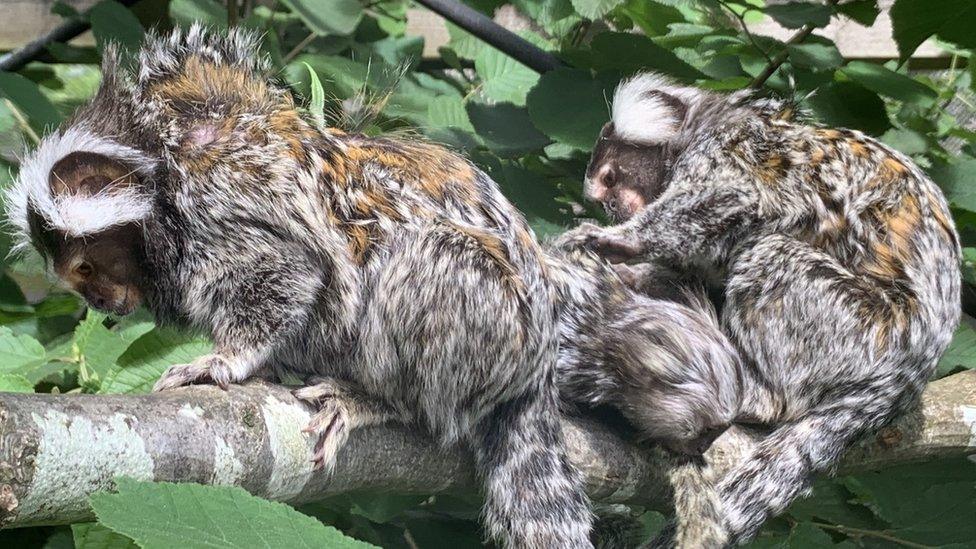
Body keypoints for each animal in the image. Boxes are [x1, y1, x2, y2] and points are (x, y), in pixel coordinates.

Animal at [556, 73, 960, 544]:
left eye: (610, 178)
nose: (613, 207)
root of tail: (912, 370)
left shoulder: (730, 152)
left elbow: (735, 196)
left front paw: (622, 241)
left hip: (862, 329)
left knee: (769, 253)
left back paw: (764, 398)